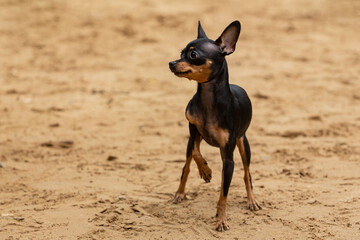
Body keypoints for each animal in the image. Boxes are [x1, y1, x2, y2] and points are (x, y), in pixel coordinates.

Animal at [169, 21, 262, 232]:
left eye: (193, 55)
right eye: (181, 53)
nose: (171, 63)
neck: (208, 99)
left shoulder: (228, 159)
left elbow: (224, 194)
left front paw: (221, 220)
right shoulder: (193, 131)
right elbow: (196, 153)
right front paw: (205, 170)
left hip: (243, 145)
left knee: (247, 174)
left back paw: (252, 200)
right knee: (186, 166)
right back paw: (179, 193)